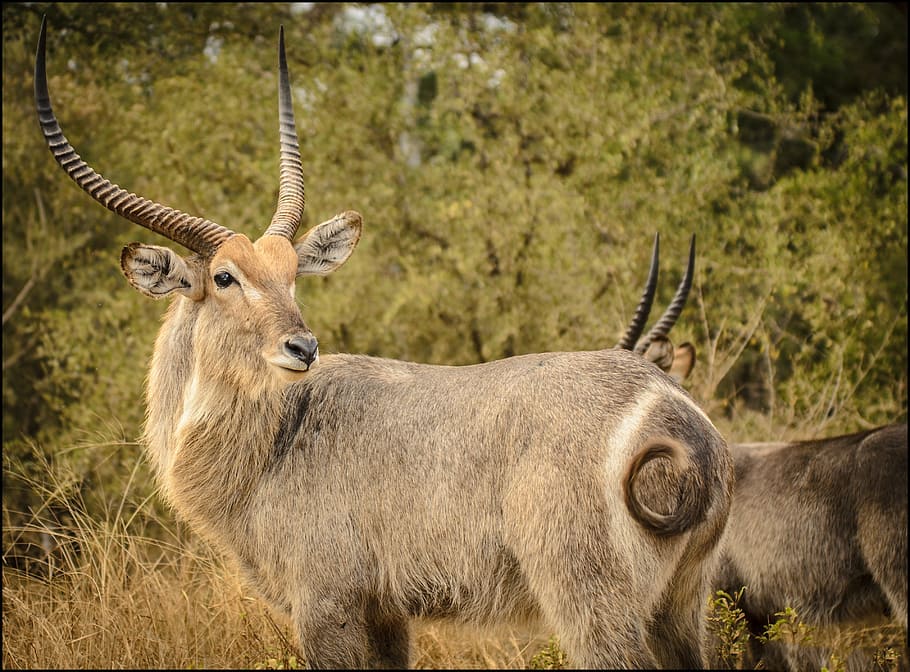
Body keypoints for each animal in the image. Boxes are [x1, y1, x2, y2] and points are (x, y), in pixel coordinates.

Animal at [35, 18, 733, 669]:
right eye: (225, 277)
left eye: (291, 273)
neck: (279, 435)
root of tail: (672, 408)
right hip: (680, 606)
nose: (303, 347)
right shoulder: (387, 612)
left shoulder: (326, 604)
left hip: (590, 600)